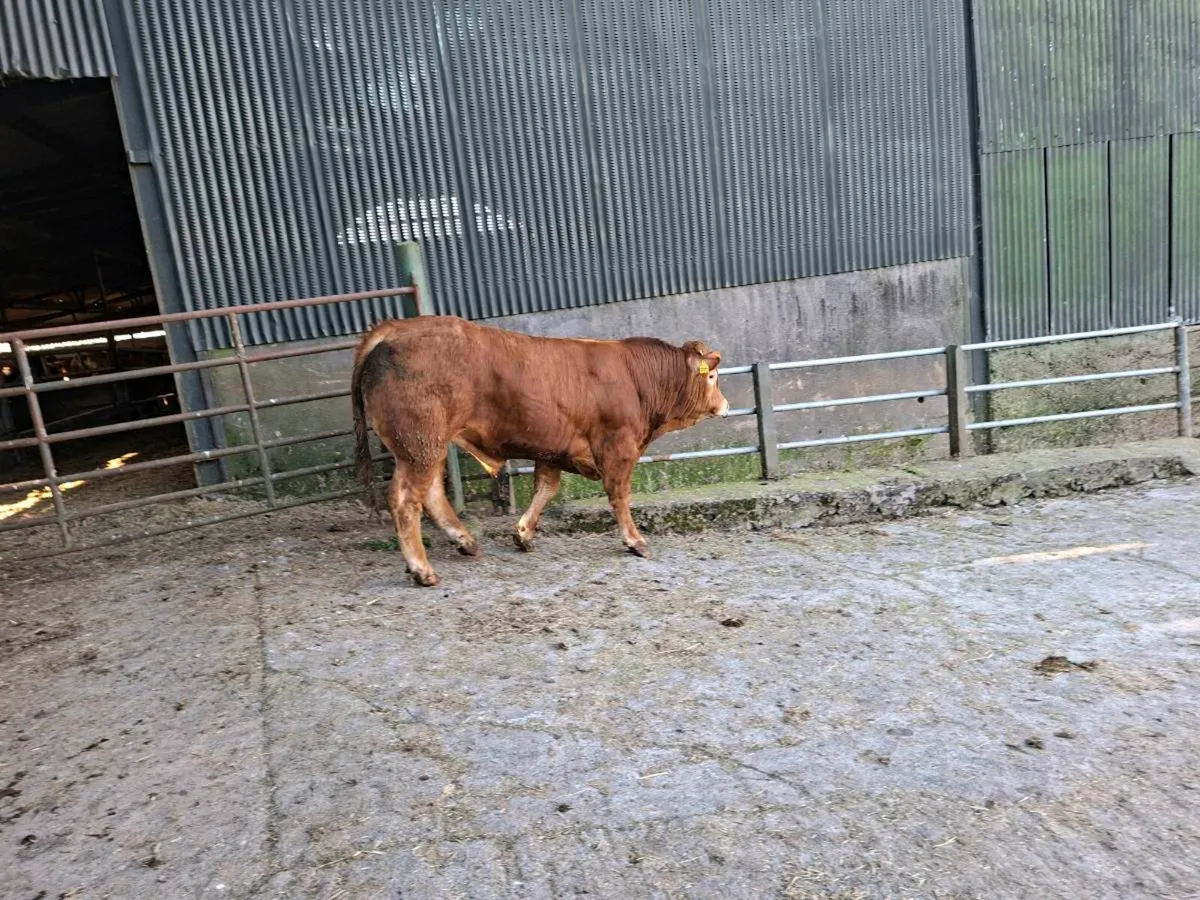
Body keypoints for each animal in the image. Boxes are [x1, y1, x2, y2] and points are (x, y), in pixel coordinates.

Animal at [350, 315, 729, 586]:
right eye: (712, 378)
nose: (725, 405)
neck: (637, 377)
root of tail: (394, 329)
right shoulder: (619, 446)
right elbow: (619, 495)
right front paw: (635, 541)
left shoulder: (552, 450)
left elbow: (546, 488)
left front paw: (523, 534)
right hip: (419, 444)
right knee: (405, 500)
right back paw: (421, 569)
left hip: (426, 446)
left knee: (429, 493)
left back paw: (465, 541)